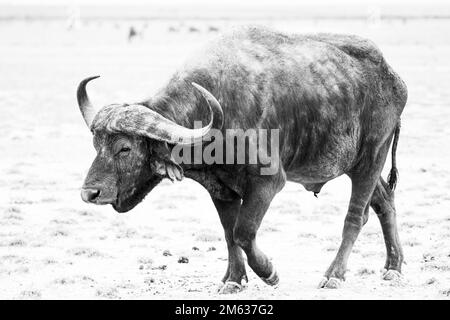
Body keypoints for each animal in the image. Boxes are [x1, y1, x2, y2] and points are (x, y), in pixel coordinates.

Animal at [76, 26, 408, 294]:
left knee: (355, 217)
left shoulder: (268, 182)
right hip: (359, 166)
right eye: (95, 144)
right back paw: (394, 267)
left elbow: (244, 232)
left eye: (124, 148)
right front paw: (234, 279)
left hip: (371, 159)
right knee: (384, 201)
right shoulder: (220, 189)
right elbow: (228, 233)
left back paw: (334, 275)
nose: (89, 193)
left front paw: (269, 272)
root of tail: (395, 80)